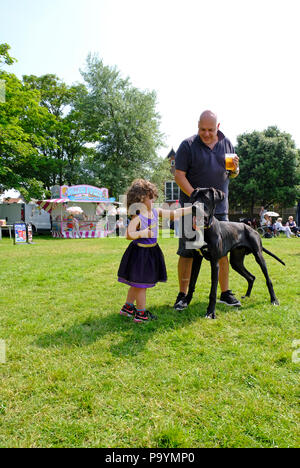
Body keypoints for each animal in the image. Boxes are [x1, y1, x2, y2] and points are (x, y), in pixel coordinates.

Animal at [184, 188, 284, 320]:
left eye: (205, 198)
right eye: (193, 198)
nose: (193, 207)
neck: (204, 229)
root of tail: (252, 228)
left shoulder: (214, 262)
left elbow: (213, 291)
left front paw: (210, 312)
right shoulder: (196, 259)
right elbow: (191, 283)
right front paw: (185, 302)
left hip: (259, 257)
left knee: (268, 280)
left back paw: (274, 300)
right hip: (236, 262)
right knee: (251, 277)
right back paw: (247, 295)